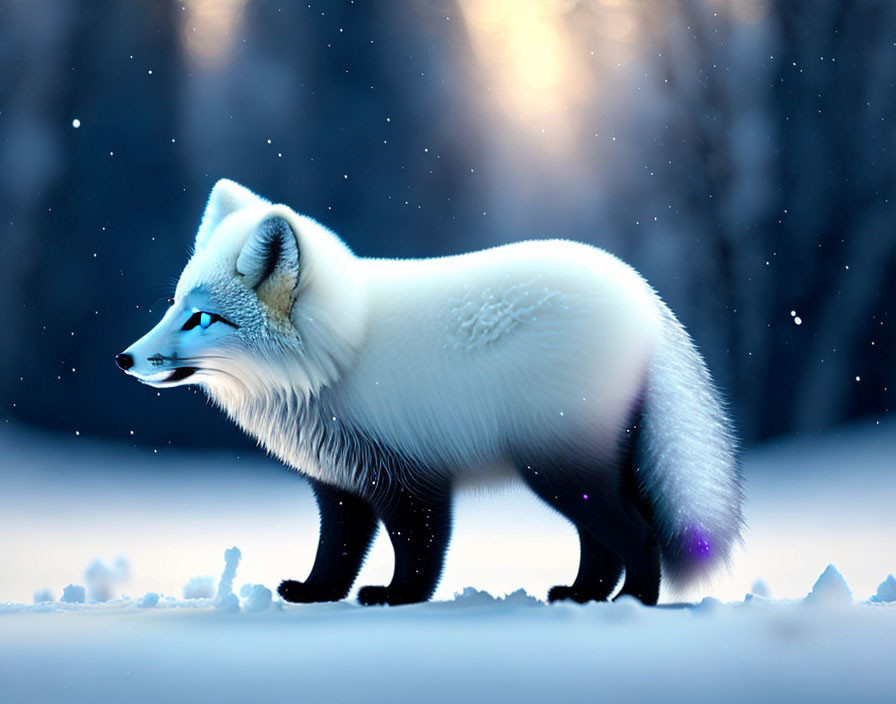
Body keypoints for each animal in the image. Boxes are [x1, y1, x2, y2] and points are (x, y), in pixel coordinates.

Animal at [121, 180, 748, 604]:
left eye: (202, 319)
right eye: (173, 306)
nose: (124, 359)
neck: (339, 353)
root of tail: (643, 293)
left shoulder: (413, 479)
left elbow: (419, 553)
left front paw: (397, 599)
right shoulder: (342, 483)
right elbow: (337, 552)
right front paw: (317, 593)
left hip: (559, 467)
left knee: (637, 538)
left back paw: (632, 604)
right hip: (574, 471)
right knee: (602, 546)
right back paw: (582, 596)